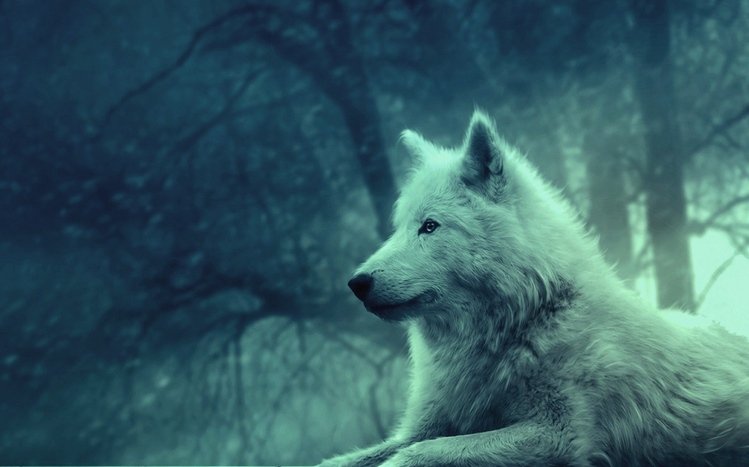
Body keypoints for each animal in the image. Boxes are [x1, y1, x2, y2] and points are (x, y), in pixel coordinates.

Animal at [320, 111, 749, 466]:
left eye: (429, 226)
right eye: (398, 228)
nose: (357, 283)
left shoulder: (557, 435)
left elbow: (419, 454)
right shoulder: (422, 426)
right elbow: (347, 459)